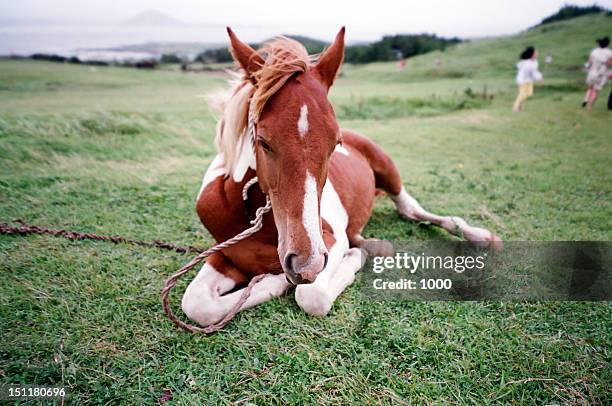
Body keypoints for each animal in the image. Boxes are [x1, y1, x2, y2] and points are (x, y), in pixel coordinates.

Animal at [178, 27, 502, 326]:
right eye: (264, 142)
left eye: (335, 143)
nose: (305, 264)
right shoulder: (224, 256)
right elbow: (197, 304)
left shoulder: (329, 244)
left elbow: (312, 295)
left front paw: (285, 277)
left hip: (388, 171)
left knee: (410, 208)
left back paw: (480, 236)